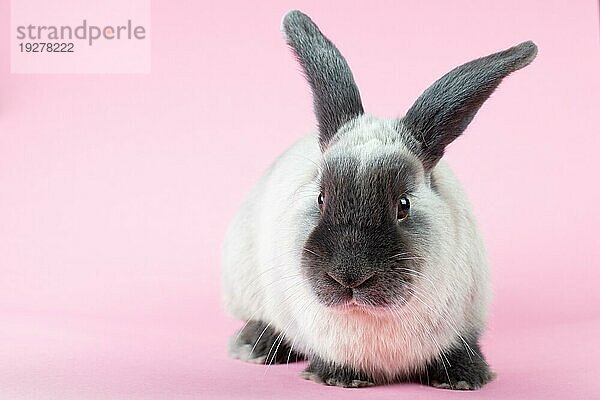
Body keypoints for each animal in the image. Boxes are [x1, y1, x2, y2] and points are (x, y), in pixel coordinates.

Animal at [221, 9, 540, 390]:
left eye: (404, 204)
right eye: (321, 198)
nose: (348, 276)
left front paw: (465, 379)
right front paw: (339, 378)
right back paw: (254, 345)